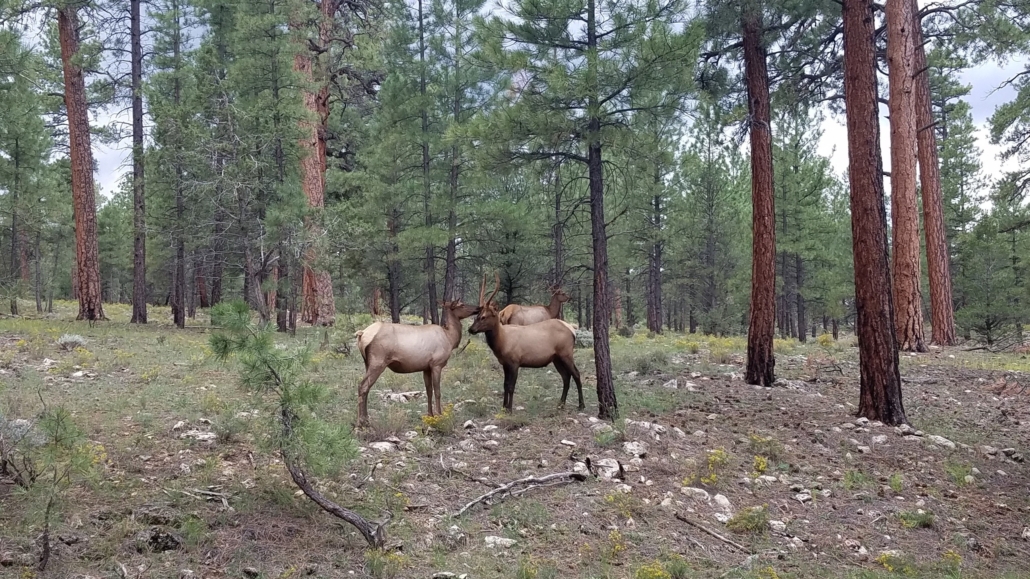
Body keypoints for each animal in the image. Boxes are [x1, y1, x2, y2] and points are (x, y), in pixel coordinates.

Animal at [469, 274, 585, 413]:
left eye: (484, 316)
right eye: (477, 315)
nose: (471, 329)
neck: (502, 343)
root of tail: (572, 331)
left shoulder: (515, 362)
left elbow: (511, 386)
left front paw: (509, 409)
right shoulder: (505, 363)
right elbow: (505, 385)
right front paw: (503, 407)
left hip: (566, 353)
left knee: (576, 374)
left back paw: (581, 405)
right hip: (556, 358)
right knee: (566, 377)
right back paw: (560, 404)